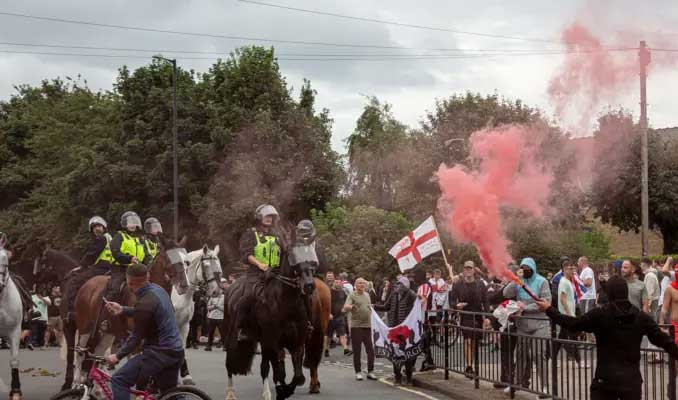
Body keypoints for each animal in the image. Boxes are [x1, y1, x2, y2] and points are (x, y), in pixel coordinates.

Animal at [173, 244, 223, 384]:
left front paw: (186, 376)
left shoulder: (185, 325)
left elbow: (181, 349)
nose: (216, 292)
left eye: (219, 264)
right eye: (206, 265)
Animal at [223, 260, 318, 400]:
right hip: (231, 335)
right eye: (295, 266)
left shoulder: (296, 344)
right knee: (230, 363)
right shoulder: (273, 343)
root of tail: (231, 287)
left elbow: (297, 376)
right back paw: (230, 393)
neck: (287, 304)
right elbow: (276, 371)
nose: (309, 285)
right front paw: (269, 394)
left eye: (312, 265)